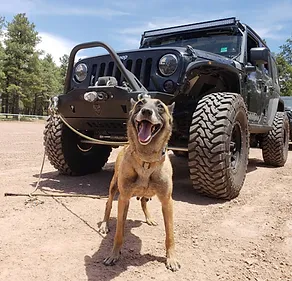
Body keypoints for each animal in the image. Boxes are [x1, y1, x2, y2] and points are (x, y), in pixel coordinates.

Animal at [98, 95, 180, 270]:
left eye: (160, 106)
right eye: (140, 103)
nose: (147, 111)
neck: (146, 160)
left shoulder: (167, 202)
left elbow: (170, 235)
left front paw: (171, 258)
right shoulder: (123, 198)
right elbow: (119, 233)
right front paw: (114, 254)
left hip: (148, 194)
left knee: (143, 201)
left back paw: (149, 218)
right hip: (114, 188)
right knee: (109, 204)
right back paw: (104, 224)